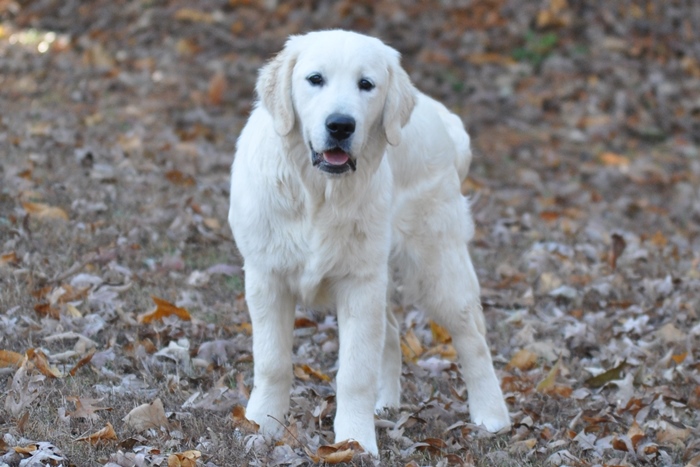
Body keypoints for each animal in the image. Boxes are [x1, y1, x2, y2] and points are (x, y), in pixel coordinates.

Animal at [230, 30, 508, 458]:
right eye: (315, 79)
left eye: (366, 84)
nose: (340, 125)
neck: (320, 193)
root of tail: (442, 119)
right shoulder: (267, 277)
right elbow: (272, 362)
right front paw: (262, 427)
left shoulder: (359, 283)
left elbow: (355, 373)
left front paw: (354, 441)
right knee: (392, 331)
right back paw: (387, 404)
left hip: (436, 266)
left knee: (472, 338)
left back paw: (491, 416)